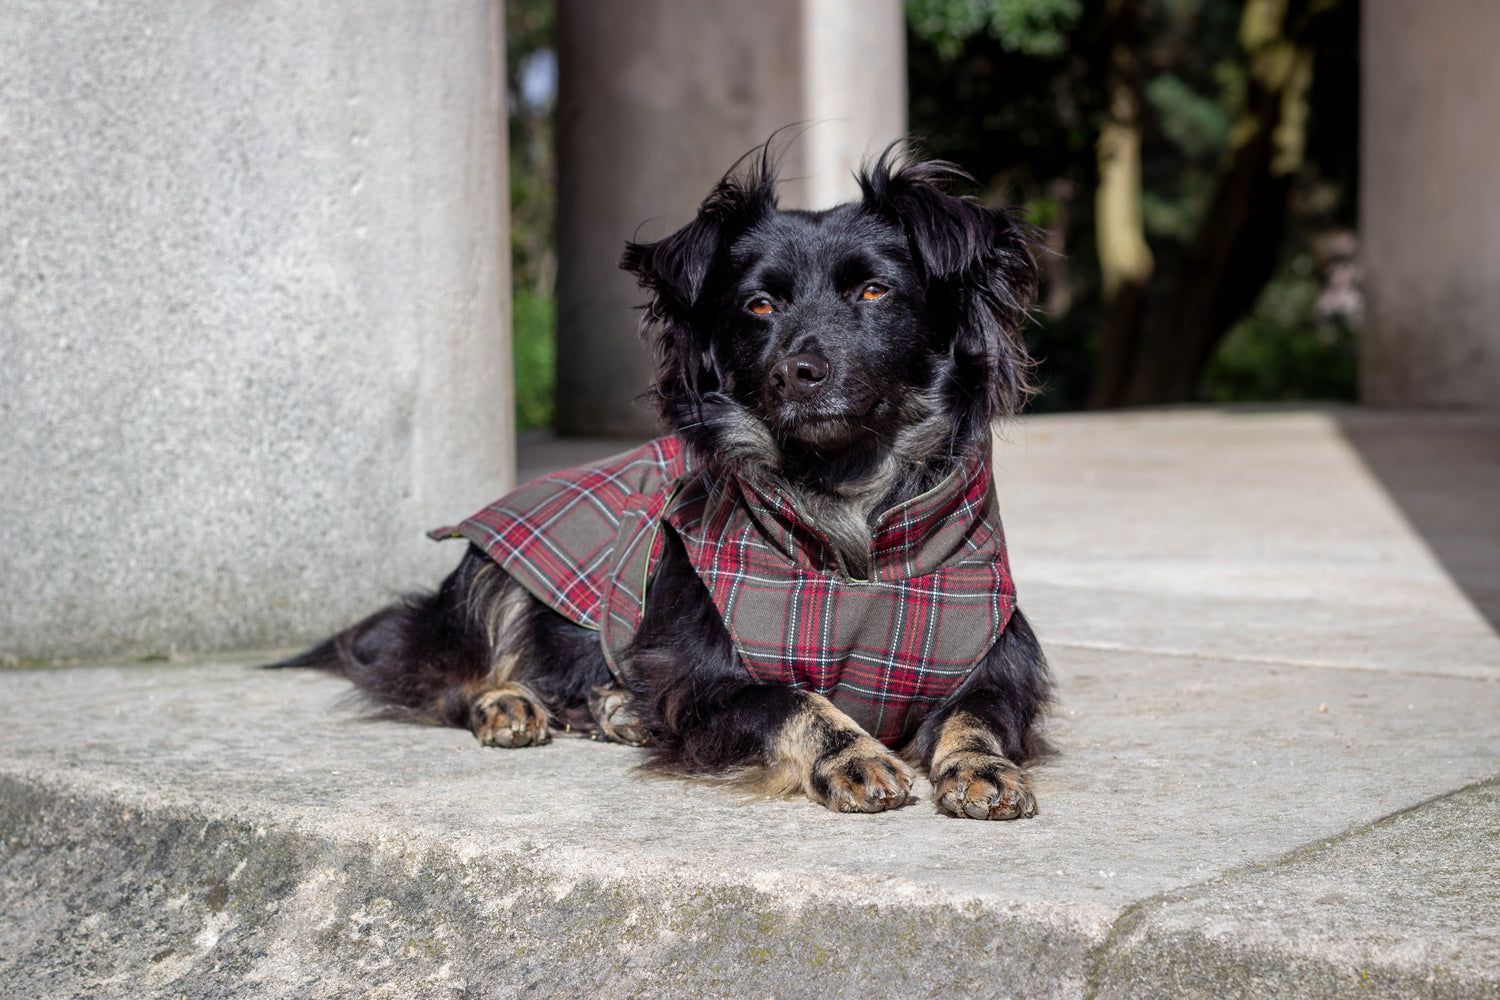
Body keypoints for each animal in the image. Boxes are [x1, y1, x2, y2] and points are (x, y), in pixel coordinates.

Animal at [282, 144, 1056, 827]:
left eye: (874, 291)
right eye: (759, 306)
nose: (796, 374)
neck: (847, 509)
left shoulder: (993, 661)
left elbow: (978, 713)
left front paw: (981, 766)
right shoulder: (709, 683)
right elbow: (792, 700)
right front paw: (852, 754)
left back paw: (613, 707)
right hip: (492, 569)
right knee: (452, 674)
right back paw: (509, 703)